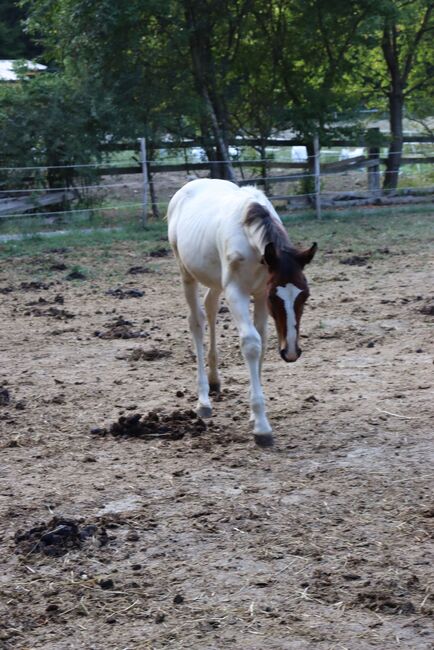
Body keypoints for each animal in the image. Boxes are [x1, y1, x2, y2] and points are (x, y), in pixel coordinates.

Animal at [167, 180, 316, 448]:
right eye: (275, 297)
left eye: (305, 295)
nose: (291, 352)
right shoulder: (238, 292)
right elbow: (251, 343)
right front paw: (261, 427)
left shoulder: (258, 292)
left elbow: (263, 340)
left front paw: (254, 416)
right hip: (187, 274)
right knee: (197, 322)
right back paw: (203, 400)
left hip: (215, 279)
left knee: (210, 307)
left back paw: (215, 381)